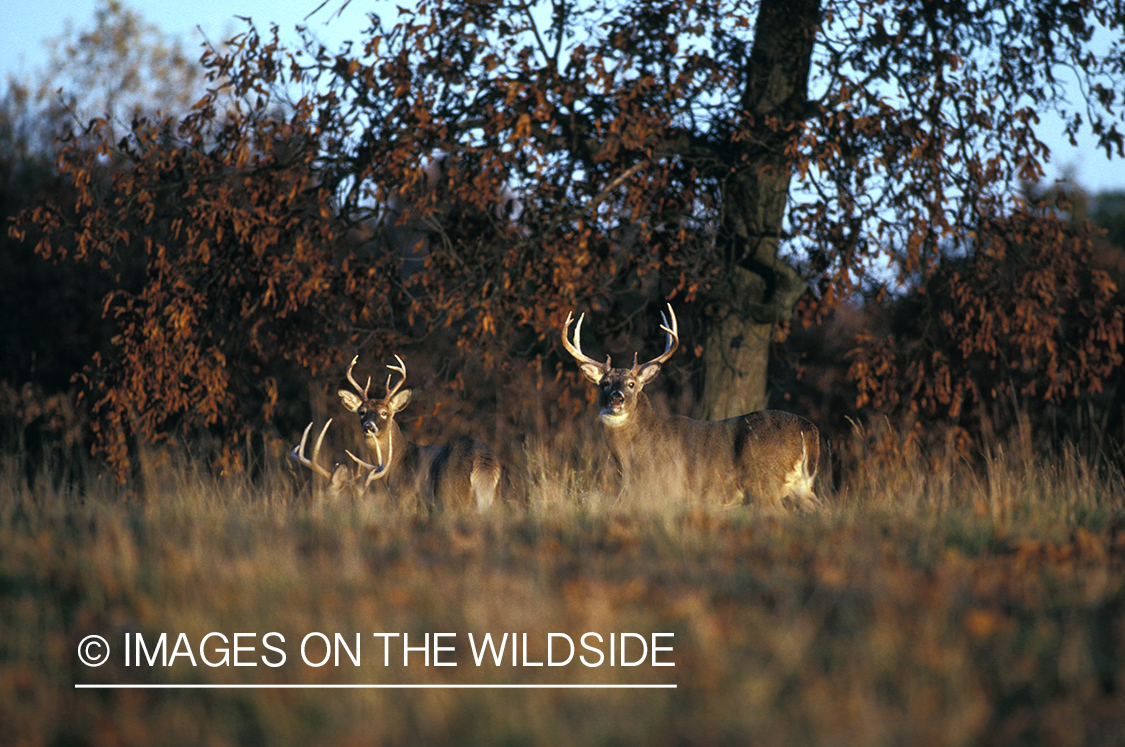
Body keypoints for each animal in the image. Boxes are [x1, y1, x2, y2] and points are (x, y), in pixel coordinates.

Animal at [292, 355, 499, 508]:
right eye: (361, 411)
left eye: (384, 413)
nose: (369, 426)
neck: (397, 460)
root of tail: (484, 462)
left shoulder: (405, 498)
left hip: (451, 496)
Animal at [560, 303, 819, 508]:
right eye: (604, 383)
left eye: (632, 384)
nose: (616, 398)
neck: (630, 458)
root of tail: (808, 430)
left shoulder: (664, 487)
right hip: (802, 487)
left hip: (763, 479)